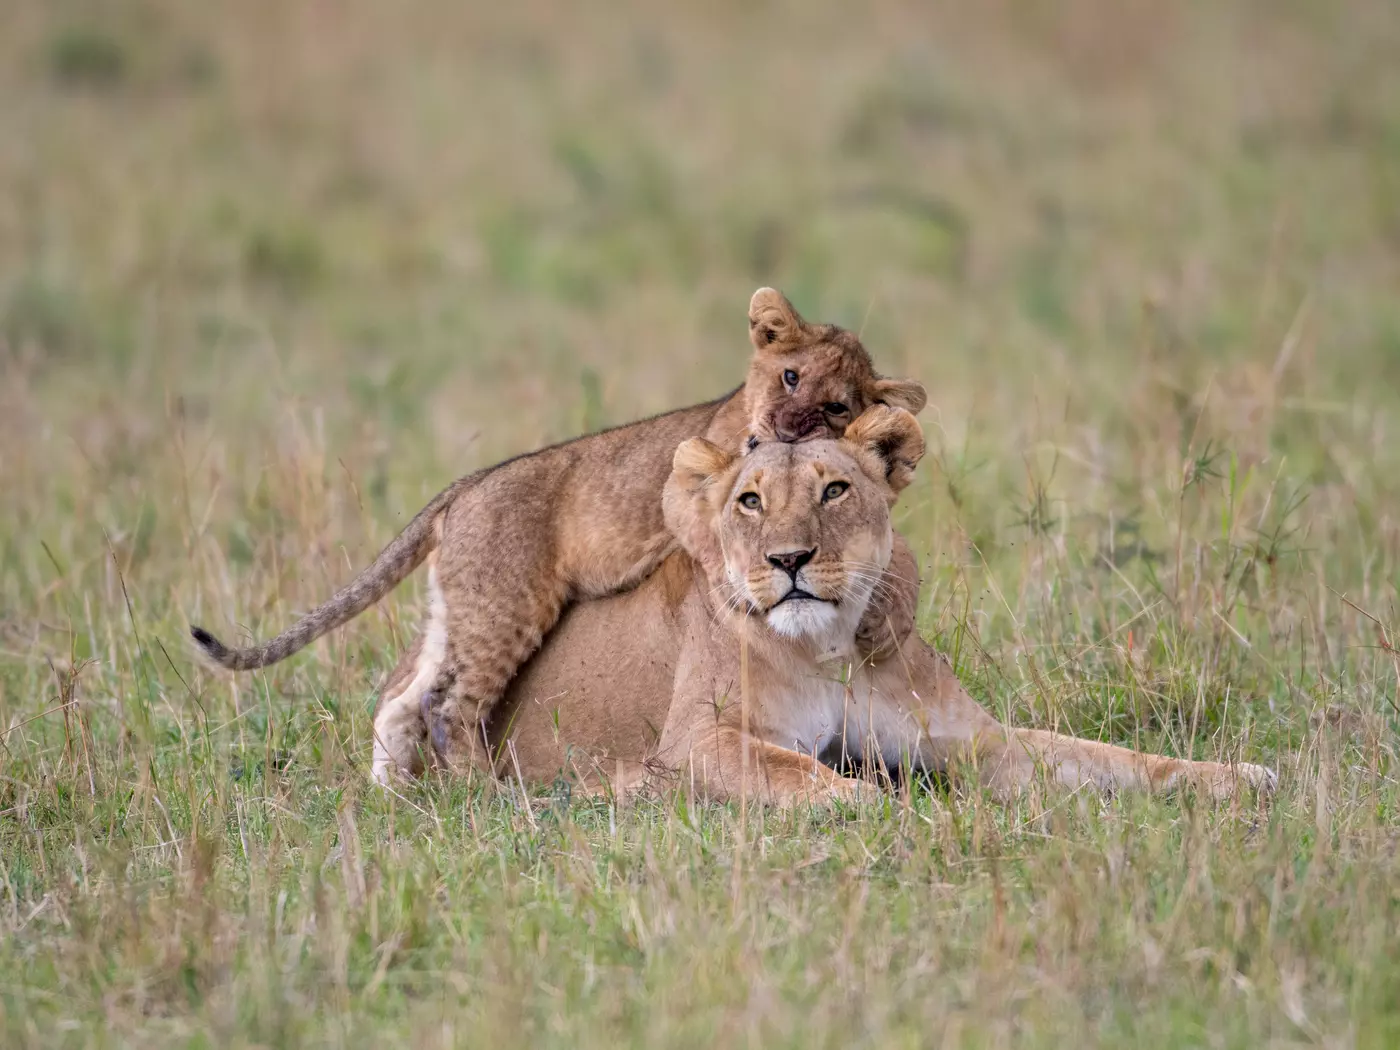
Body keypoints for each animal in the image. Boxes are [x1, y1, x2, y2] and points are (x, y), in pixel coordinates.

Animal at [191, 288, 927, 778]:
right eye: (789, 375)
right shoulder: (685, 492)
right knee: (448, 706)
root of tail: (465, 488)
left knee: (404, 694)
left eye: (836, 405)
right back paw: (480, 794)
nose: (792, 423)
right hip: (507, 606)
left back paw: (393, 794)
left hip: (460, 611)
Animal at [391, 405, 1276, 804]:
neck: (832, 646)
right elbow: (807, 776)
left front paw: (1241, 776)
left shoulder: (976, 741)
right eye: (749, 501)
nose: (789, 560)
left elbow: (1110, 758)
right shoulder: (698, 741)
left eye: (835, 490)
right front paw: (891, 810)